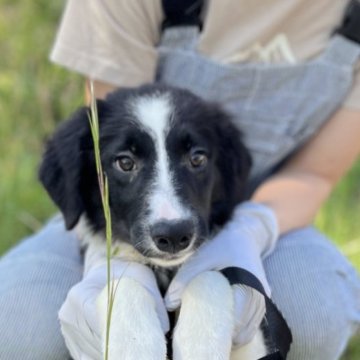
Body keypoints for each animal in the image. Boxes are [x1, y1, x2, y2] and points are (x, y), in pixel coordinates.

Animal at [40, 83, 270, 358]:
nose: (174, 235)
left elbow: (209, 277)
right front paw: (135, 346)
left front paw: (201, 344)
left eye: (197, 158)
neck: (166, 273)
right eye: (125, 162)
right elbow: (124, 284)